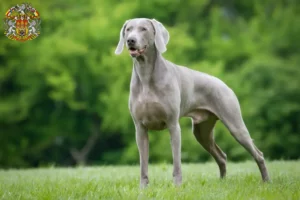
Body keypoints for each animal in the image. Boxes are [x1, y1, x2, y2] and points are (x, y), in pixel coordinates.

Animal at [114, 17, 270, 188]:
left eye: (143, 29)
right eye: (128, 29)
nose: (130, 40)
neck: (146, 74)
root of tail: (224, 84)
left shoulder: (173, 125)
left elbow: (176, 162)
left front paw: (177, 186)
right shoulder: (140, 128)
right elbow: (143, 163)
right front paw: (143, 188)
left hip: (235, 124)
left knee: (258, 154)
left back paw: (266, 181)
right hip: (202, 132)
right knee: (221, 156)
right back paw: (222, 183)